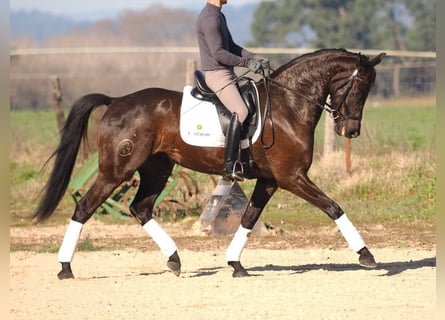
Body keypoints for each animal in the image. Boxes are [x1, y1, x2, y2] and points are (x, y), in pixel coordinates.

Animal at [33, 47, 382, 278]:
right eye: (359, 88)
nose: (350, 131)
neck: (288, 105)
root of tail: (116, 101)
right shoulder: (292, 177)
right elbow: (333, 207)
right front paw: (366, 255)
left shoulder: (270, 180)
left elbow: (248, 219)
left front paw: (235, 264)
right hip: (117, 170)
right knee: (84, 208)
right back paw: (65, 267)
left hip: (157, 168)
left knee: (140, 208)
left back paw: (174, 259)